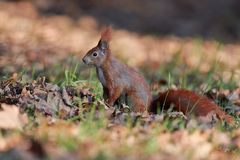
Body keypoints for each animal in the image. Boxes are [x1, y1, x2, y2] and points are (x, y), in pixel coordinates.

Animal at [82, 26, 232, 123]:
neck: (103, 67)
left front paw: (108, 104)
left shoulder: (116, 80)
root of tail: (150, 108)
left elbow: (115, 92)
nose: (83, 60)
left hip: (132, 98)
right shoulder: (105, 86)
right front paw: (103, 101)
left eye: (94, 54)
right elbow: (106, 93)